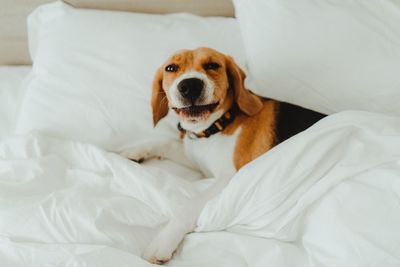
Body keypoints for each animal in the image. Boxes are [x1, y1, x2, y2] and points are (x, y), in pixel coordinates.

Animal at [123, 47, 326, 264]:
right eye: (171, 68)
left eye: (213, 65)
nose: (190, 85)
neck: (215, 127)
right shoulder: (196, 157)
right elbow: (164, 143)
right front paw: (133, 151)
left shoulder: (229, 178)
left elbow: (189, 206)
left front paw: (163, 241)